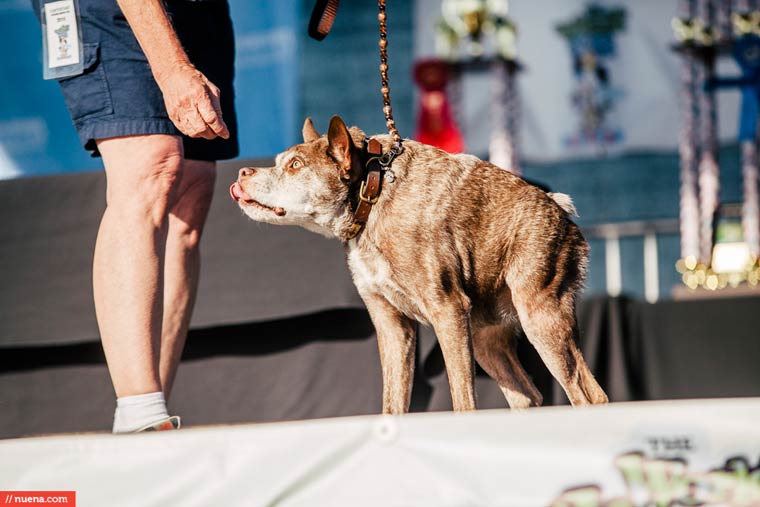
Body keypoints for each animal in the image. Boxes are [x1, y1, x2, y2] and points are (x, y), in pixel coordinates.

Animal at [229, 115, 608, 412]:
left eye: (295, 166)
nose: (243, 171)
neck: (372, 196)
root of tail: (561, 212)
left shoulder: (448, 311)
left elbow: (463, 400)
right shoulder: (392, 324)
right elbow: (393, 404)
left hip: (540, 317)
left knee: (589, 396)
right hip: (487, 337)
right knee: (528, 396)